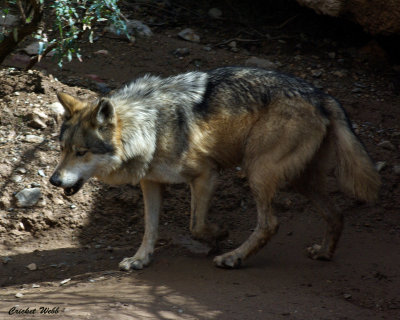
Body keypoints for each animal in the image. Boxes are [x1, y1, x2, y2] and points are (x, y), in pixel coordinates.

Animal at [48, 67, 380, 270]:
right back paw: (323, 253)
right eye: (61, 149)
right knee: (335, 214)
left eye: (81, 152)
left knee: (270, 223)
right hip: (300, 181)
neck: (150, 127)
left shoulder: (206, 175)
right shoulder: (151, 184)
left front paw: (219, 233)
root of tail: (322, 95)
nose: (53, 180)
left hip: (258, 171)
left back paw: (233, 258)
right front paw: (140, 259)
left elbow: (196, 225)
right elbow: (150, 227)